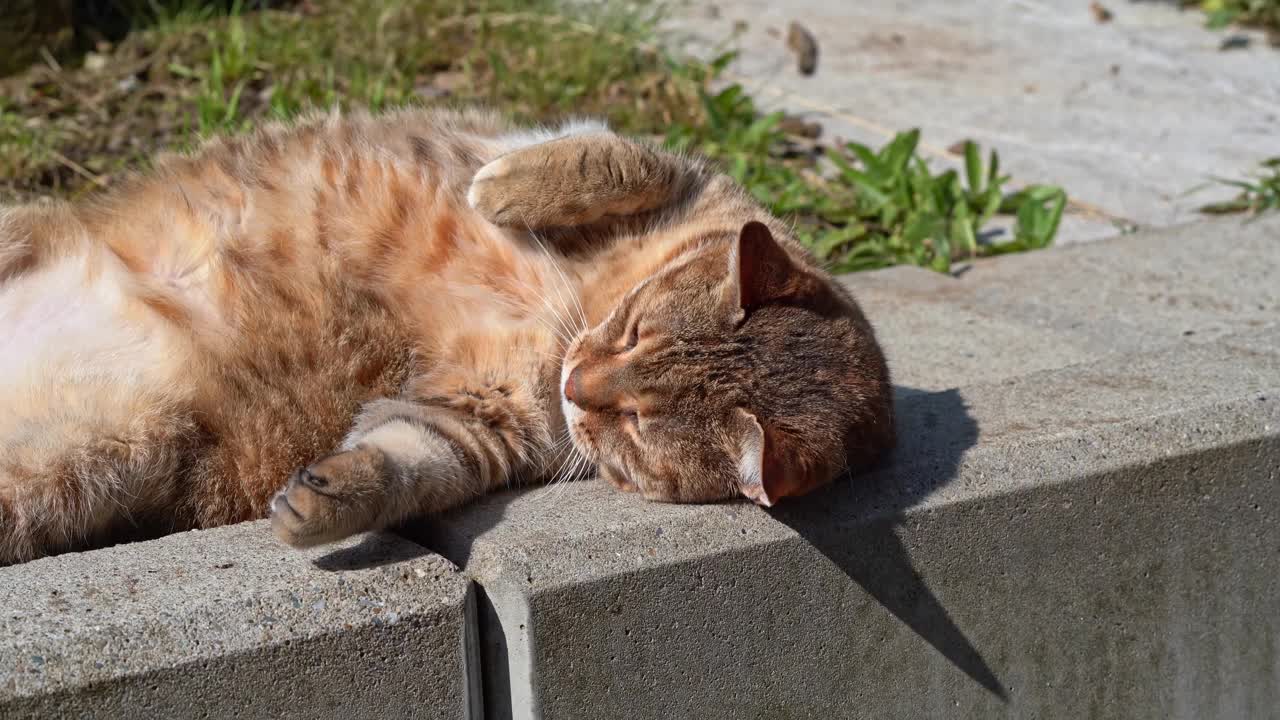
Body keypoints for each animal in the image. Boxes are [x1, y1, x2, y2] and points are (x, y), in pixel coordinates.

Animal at [0, 106, 896, 563]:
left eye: (639, 424)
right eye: (634, 330)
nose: (577, 384)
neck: (575, 321)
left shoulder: (481, 423)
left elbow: (406, 464)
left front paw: (331, 496)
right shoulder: (685, 174)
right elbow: (610, 158)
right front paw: (505, 186)